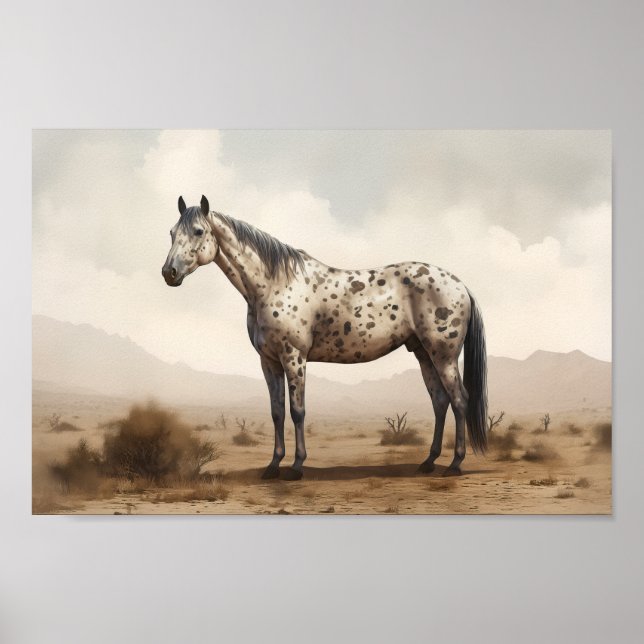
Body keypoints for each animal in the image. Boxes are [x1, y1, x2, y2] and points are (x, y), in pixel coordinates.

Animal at [162, 195, 488, 480]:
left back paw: (454, 465)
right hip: (423, 353)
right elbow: (277, 413)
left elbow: (297, 411)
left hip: (444, 354)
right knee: (440, 402)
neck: (272, 285)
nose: (169, 272)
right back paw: (428, 462)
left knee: (459, 400)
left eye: (198, 231)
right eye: (172, 232)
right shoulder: (269, 361)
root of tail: (460, 285)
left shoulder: (294, 357)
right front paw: (272, 467)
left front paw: (296, 468)